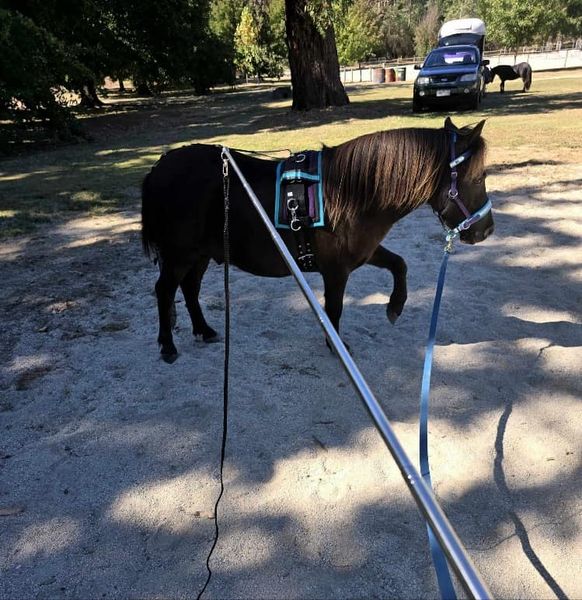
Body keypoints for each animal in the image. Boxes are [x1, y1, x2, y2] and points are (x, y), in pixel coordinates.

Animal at [144, 117, 496, 360]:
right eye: (480, 176)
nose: (486, 230)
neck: (350, 192)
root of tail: (159, 167)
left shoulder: (365, 252)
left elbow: (400, 265)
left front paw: (395, 306)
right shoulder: (336, 271)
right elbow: (335, 309)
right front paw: (336, 345)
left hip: (199, 255)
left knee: (189, 289)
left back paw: (204, 330)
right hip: (179, 255)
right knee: (165, 291)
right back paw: (168, 346)